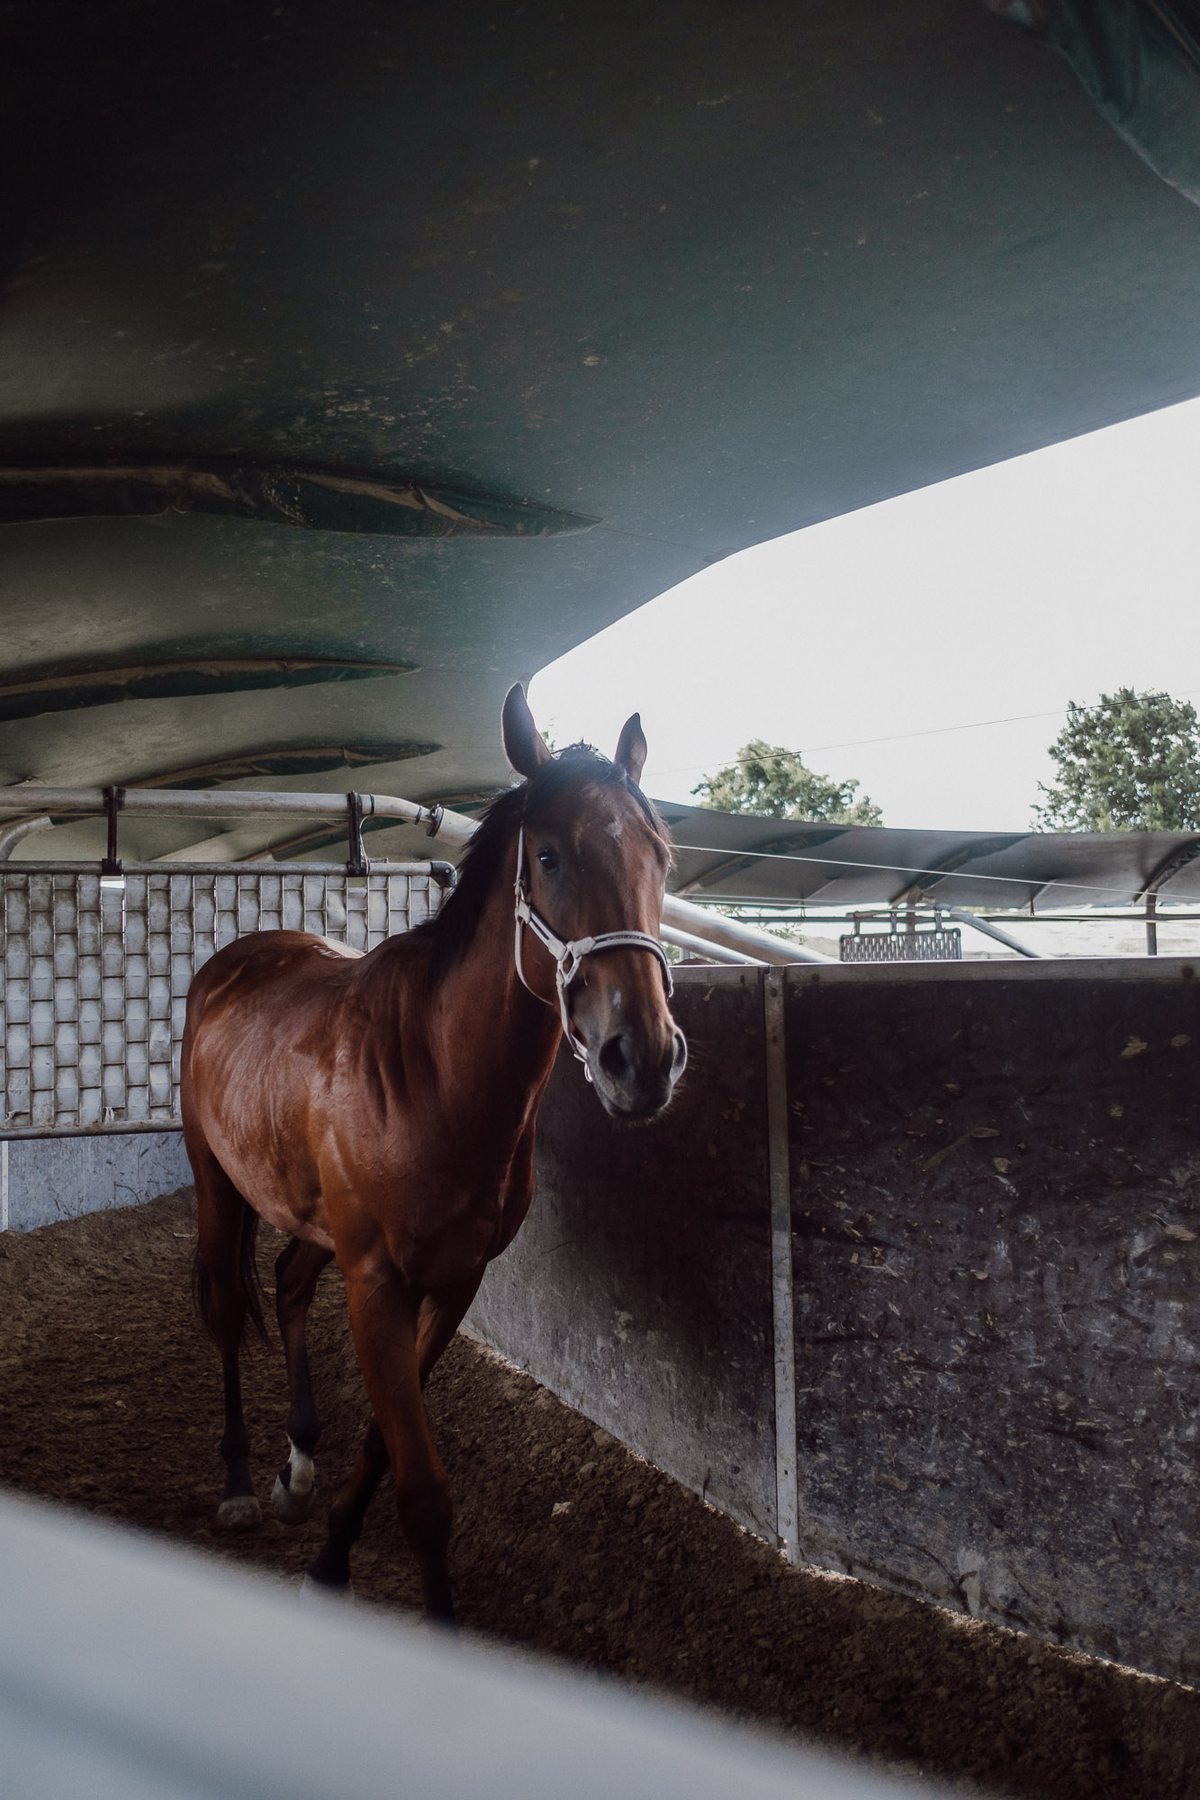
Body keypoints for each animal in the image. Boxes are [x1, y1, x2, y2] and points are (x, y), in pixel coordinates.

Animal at [180, 683, 686, 1621]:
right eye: (550, 856)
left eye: (662, 858)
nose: (642, 1059)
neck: (432, 1076)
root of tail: (236, 960)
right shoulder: (378, 1285)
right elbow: (421, 1489)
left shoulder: (453, 1282)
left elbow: (387, 1444)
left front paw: (331, 1556)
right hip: (216, 1184)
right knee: (230, 1308)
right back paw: (236, 1482)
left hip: (312, 1219)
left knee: (289, 1283)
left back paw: (297, 1463)